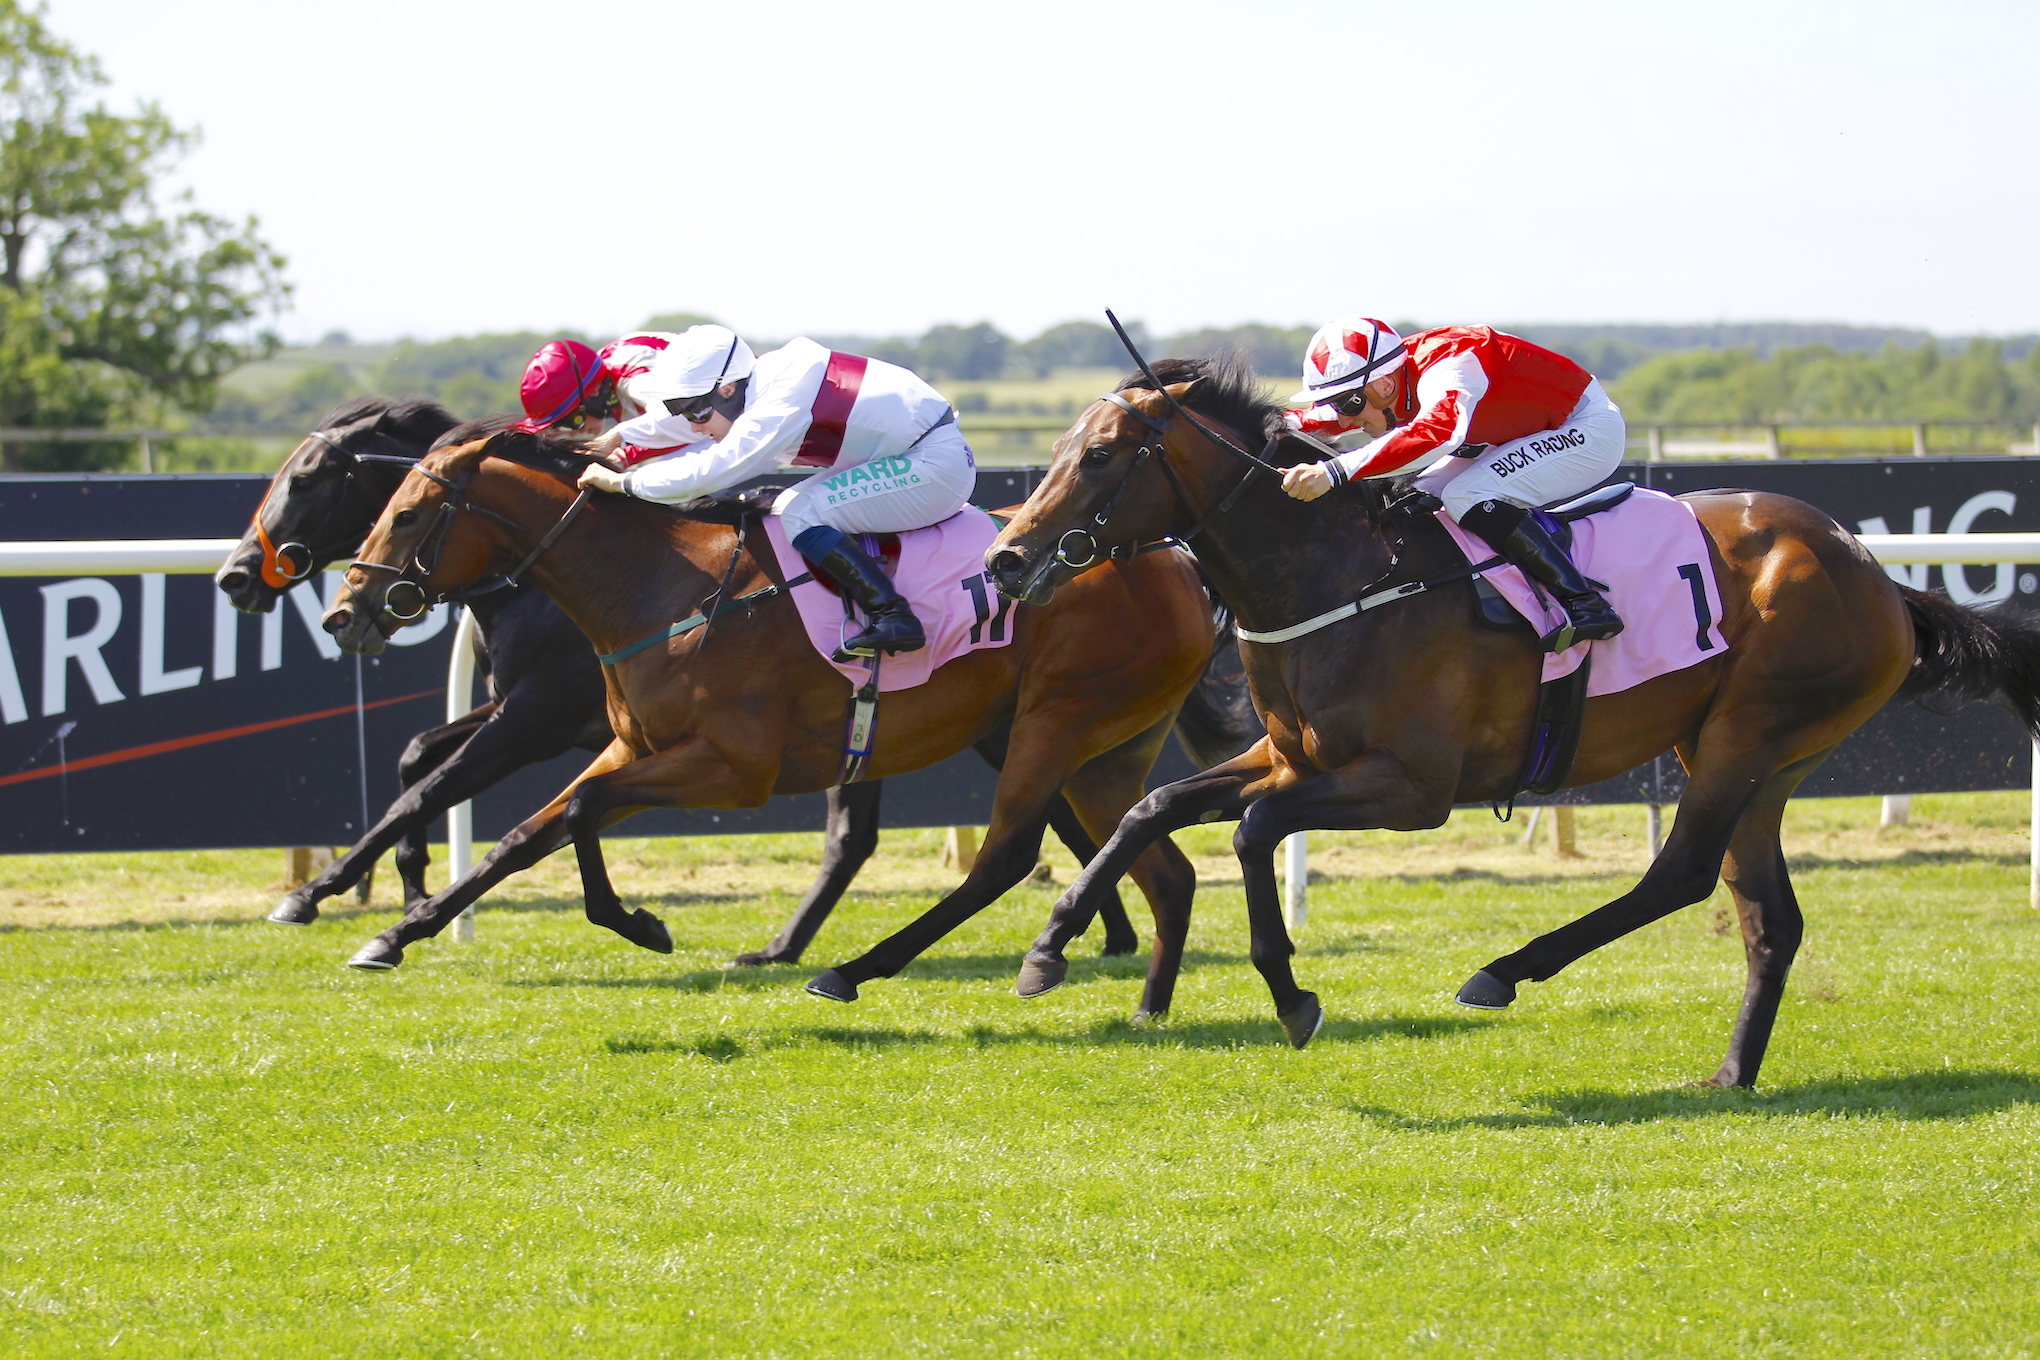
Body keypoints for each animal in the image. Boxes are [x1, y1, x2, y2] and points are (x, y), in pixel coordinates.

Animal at [211, 399, 1256, 962]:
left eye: (407, 510)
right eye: (379, 502)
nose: (345, 612)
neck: (654, 585)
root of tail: (1170, 552)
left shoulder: (710, 761)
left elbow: (528, 807)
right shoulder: (613, 743)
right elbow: (522, 829)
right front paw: (400, 924)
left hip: (1059, 717)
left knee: (1023, 834)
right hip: (1023, 727)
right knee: (1059, 826)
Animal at [979, 356, 2031, 1092]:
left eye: (1101, 455)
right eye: (1063, 447)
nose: (1005, 558)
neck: (1336, 575)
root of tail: (1870, 569)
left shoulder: (1411, 788)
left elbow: (1253, 831)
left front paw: (1291, 994)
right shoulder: (1287, 756)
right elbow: (1149, 808)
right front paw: (1047, 949)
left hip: (1751, 733)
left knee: (1683, 872)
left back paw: (1505, 970)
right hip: (1753, 756)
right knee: (1766, 917)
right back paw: (1732, 1072)